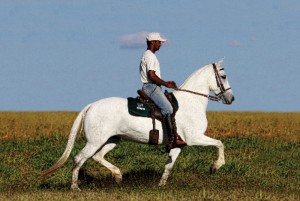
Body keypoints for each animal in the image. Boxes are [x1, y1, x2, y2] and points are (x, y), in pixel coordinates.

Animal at [42, 58, 234, 190]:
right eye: (223, 76)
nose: (231, 99)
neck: (191, 102)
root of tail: (91, 105)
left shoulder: (179, 144)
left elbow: (168, 166)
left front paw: (161, 186)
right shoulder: (195, 138)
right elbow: (220, 143)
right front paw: (215, 166)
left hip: (112, 140)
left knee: (97, 157)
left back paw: (118, 176)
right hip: (95, 141)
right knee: (79, 158)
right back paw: (75, 187)